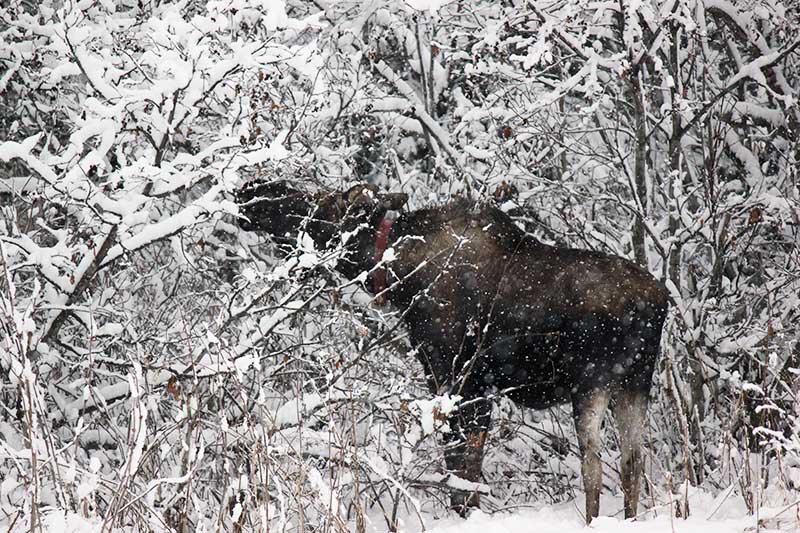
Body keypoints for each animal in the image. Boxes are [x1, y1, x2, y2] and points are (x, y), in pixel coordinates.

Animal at [239, 181, 668, 520]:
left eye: (327, 203)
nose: (253, 189)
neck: (400, 276)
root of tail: (658, 302)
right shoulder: (474, 385)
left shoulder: (454, 375)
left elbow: (461, 464)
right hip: (635, 384)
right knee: (632, 462)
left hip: (592, 383)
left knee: (593, 464)